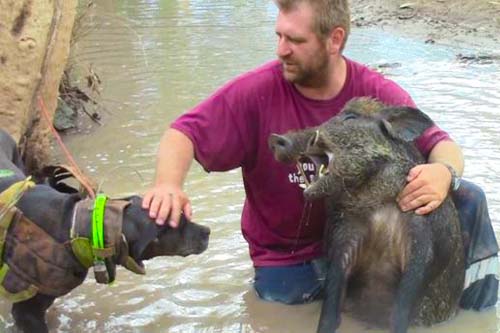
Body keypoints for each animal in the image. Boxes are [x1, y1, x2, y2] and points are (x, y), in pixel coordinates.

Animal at [270, 98, 464, 332]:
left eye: (350, 117)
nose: (276, 138)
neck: (378, 204)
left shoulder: (424, 240)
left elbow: (402, 307)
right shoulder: (343, 234)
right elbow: (331, 300)